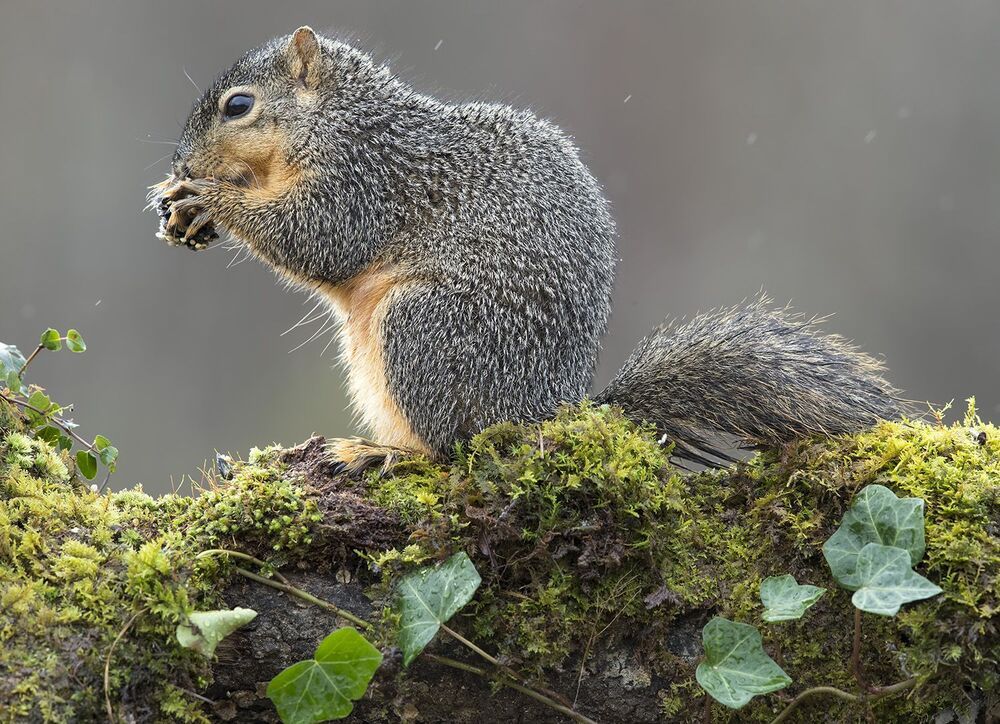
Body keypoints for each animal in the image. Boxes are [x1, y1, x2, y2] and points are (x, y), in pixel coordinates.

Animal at [151, 26, 903, 470]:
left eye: (239, 106)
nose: (181, 159)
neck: (342, 119)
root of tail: (546, 411)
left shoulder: (365, 179)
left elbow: (318, 239)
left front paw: (208, 199)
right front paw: (180, 200)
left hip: (420, 329)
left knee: (454, 449)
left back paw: (379, 455)